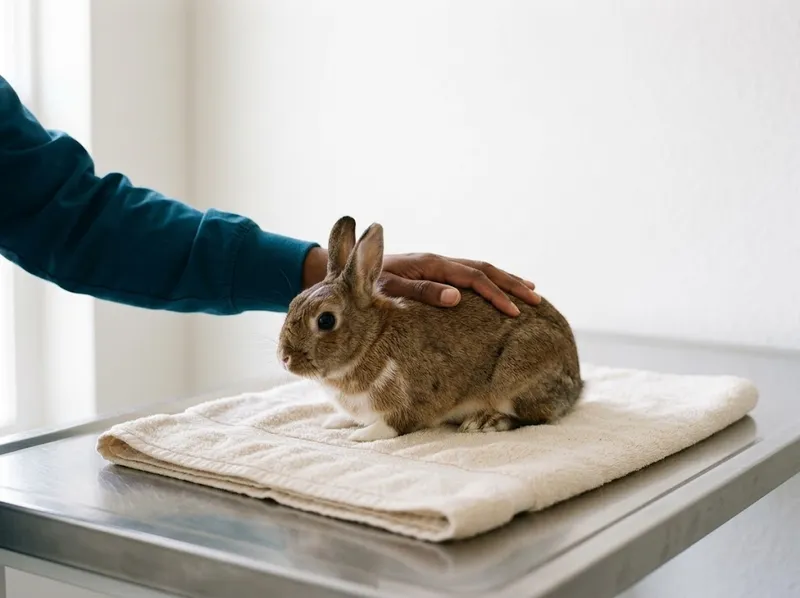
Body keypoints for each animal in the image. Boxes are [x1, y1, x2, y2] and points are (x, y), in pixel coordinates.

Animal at [277, 216, 584, 442]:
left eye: (325, 320)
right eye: (292, 303)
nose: (284, 359)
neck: (372, 339)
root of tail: (577, 381)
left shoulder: (414, 399)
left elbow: (395, 424)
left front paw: (361, 435)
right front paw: (334, 421)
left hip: (516, 373)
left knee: (534, 417)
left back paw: (484, 422)